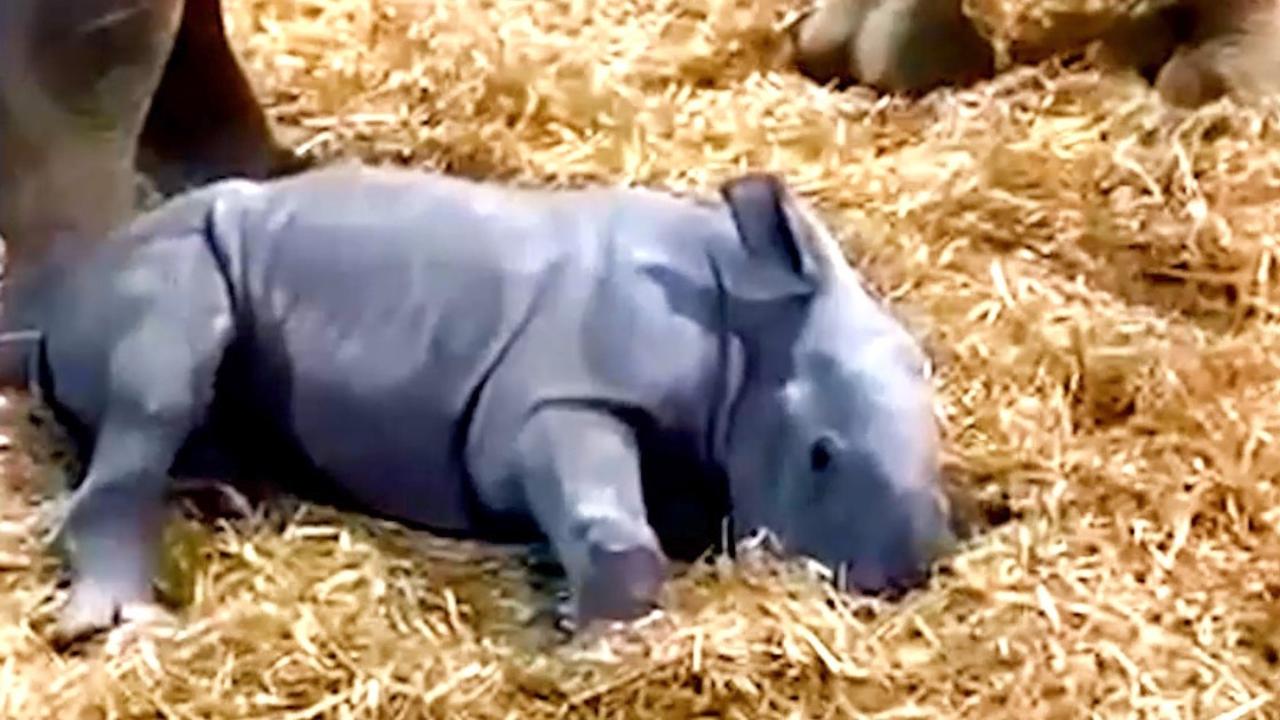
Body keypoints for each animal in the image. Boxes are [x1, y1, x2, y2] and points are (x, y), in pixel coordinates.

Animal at [0, 163, 957, 638]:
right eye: (821, 455)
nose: (902, 578)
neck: (745, 329)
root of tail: (54, 314)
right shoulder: (557, 398)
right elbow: (606, 518)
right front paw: (601, 642)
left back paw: (229, 493)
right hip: (167, 253)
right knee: (163, 379)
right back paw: (125, 625)